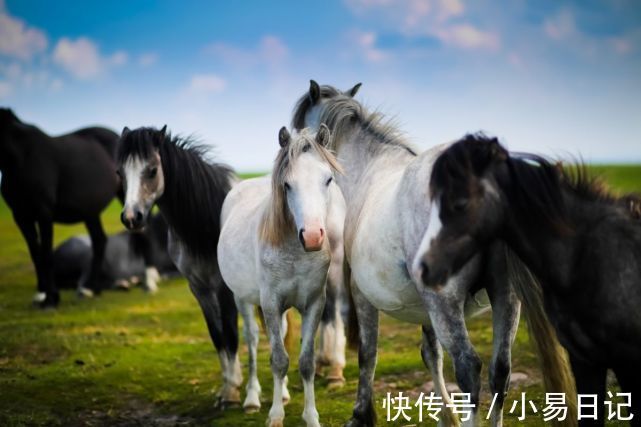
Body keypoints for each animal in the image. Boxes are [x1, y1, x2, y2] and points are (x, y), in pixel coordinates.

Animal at [0, 107, 120, 308]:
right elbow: (36, 254)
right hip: (90, 212)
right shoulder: (21, 215)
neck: (22, 157)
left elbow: (46, 254)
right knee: (99, 240)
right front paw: (41, 293)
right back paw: (91, 289)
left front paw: (51, 299)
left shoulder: (44, 213)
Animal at [218, 125, 344, 427]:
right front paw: (275, 416)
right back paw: (252, 398)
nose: (312, 236)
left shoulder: (314, 304)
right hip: (242, 299)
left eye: (328, 179)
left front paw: (311, 416)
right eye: (287, 185)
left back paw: (284, 393)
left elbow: (306, 361)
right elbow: (278, 359)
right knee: (252, 340)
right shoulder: (271, 304)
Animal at [292, 82, 524, 426]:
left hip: (446, 302)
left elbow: (367, 353)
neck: (370, 167)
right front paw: (445, 415)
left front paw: (361, 414)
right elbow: (431, 354)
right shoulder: (424, 307)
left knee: (469, 368)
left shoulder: (362, 293)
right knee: (500, 370)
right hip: (505, 297)